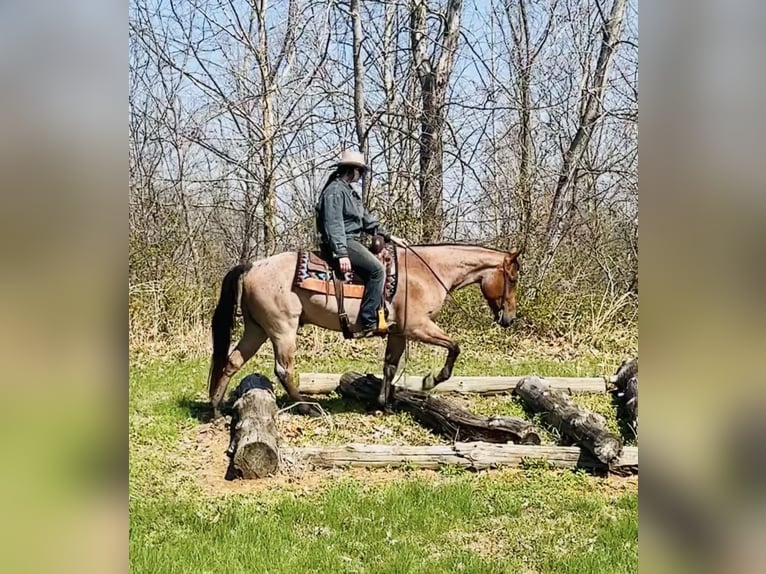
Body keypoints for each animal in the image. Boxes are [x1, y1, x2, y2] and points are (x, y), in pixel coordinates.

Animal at [208, 243, 520, 418]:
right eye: (514, 278)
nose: (509, 318)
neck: (425, 271)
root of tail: (253, 266)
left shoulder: (398, 333)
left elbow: (390, 366)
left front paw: (385, 404)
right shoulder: (418, 327)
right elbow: (454, 347)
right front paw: (431, 380)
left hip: (257, 330)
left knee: (232, 362)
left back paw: (216, 409)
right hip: (282, 330)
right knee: (284, 370)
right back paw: (307, 407)